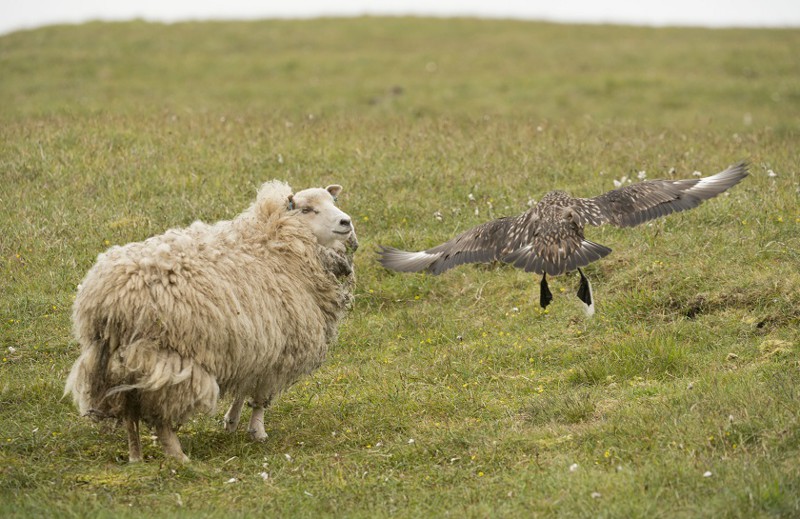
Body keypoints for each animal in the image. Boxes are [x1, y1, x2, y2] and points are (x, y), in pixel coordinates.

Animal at [64, 180, 358, 464]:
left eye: (333, 201)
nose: (346, 222)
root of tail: (109, 298)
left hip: (119, 364)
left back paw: (136, 457)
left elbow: (244, 387)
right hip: (168, 361)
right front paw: (257, 431)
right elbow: (260, 396)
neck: (276, 241)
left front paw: (232, 421)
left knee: (130, 411)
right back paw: (178, 457)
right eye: (307, 209)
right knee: (161, 415)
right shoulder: (280, 349)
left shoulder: (254, 344)